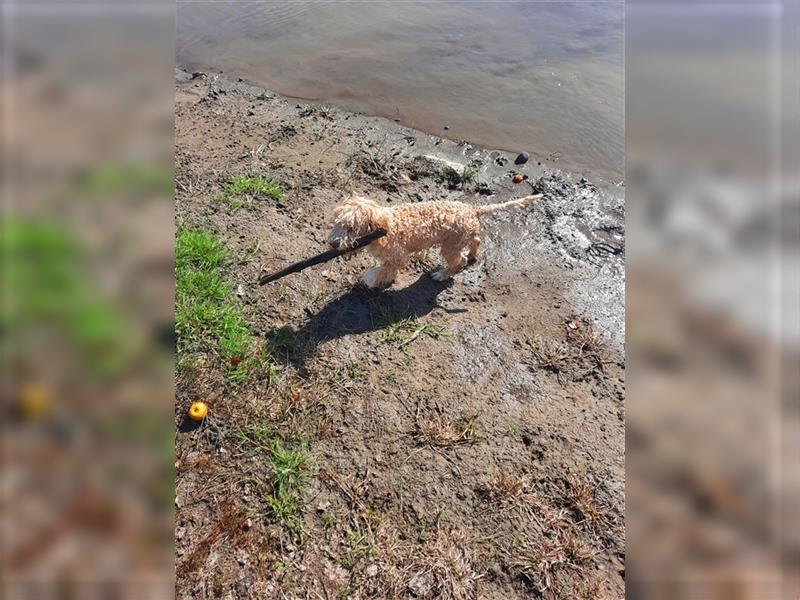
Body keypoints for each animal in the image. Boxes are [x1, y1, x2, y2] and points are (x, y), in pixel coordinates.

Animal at [326, 191, 544, 288]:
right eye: (336, 222)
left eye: (351, 228)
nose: (333, 244)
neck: (384, 227)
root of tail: (473, 209)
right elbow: (387, 269)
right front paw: (385, 279)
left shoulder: (399, 256)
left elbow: (382, 269)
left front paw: (372, 279)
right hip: (463, 237)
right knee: (476, 242)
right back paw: (473, 254)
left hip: (450, 246)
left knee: (459, 261)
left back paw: (442, 274)